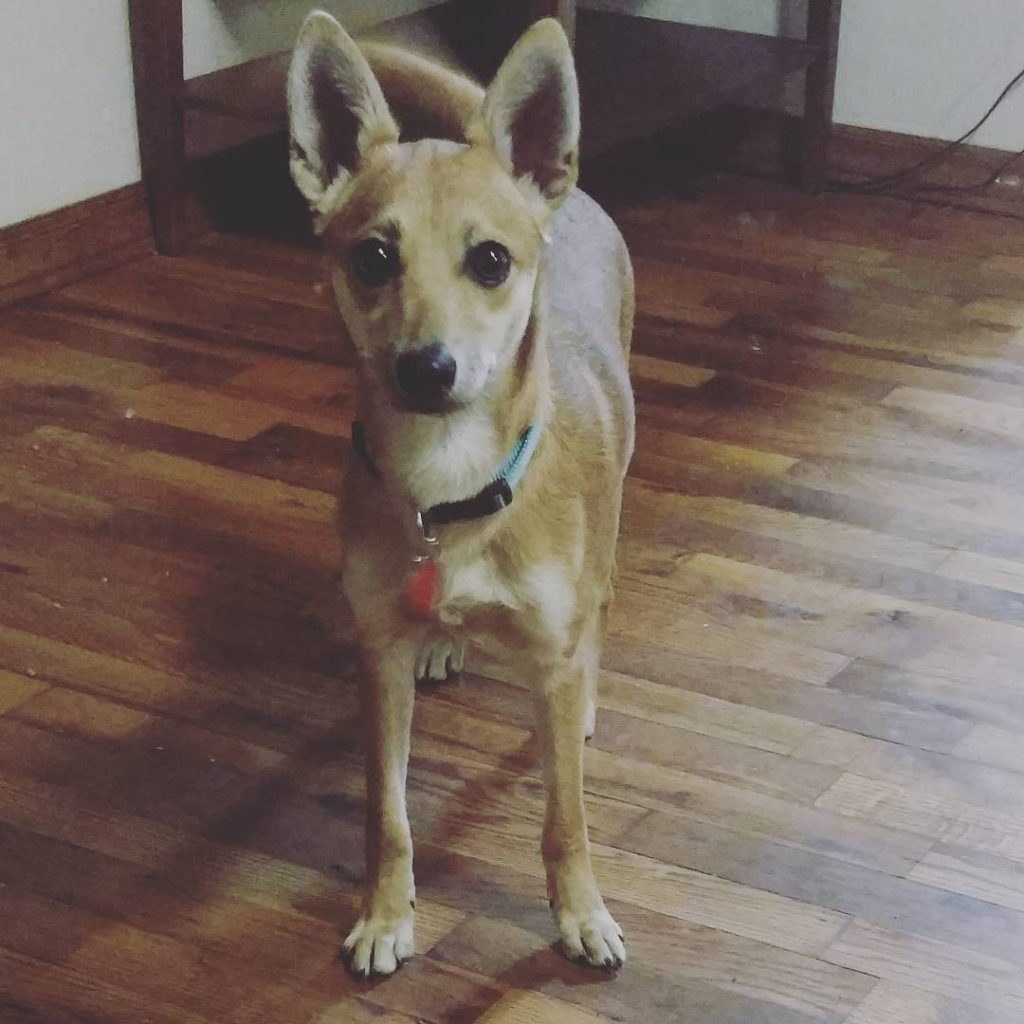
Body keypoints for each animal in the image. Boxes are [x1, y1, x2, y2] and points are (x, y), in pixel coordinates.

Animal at [288, 9, 634, 983]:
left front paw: (580, 915)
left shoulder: (550, 664)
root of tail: (566, 200)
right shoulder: (376, 656)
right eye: (373, 256)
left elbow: (566, 822)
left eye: (489, 261)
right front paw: (385, 914)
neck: (450, 489)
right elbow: (388, 814)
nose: (427, 367)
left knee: (598, 610)